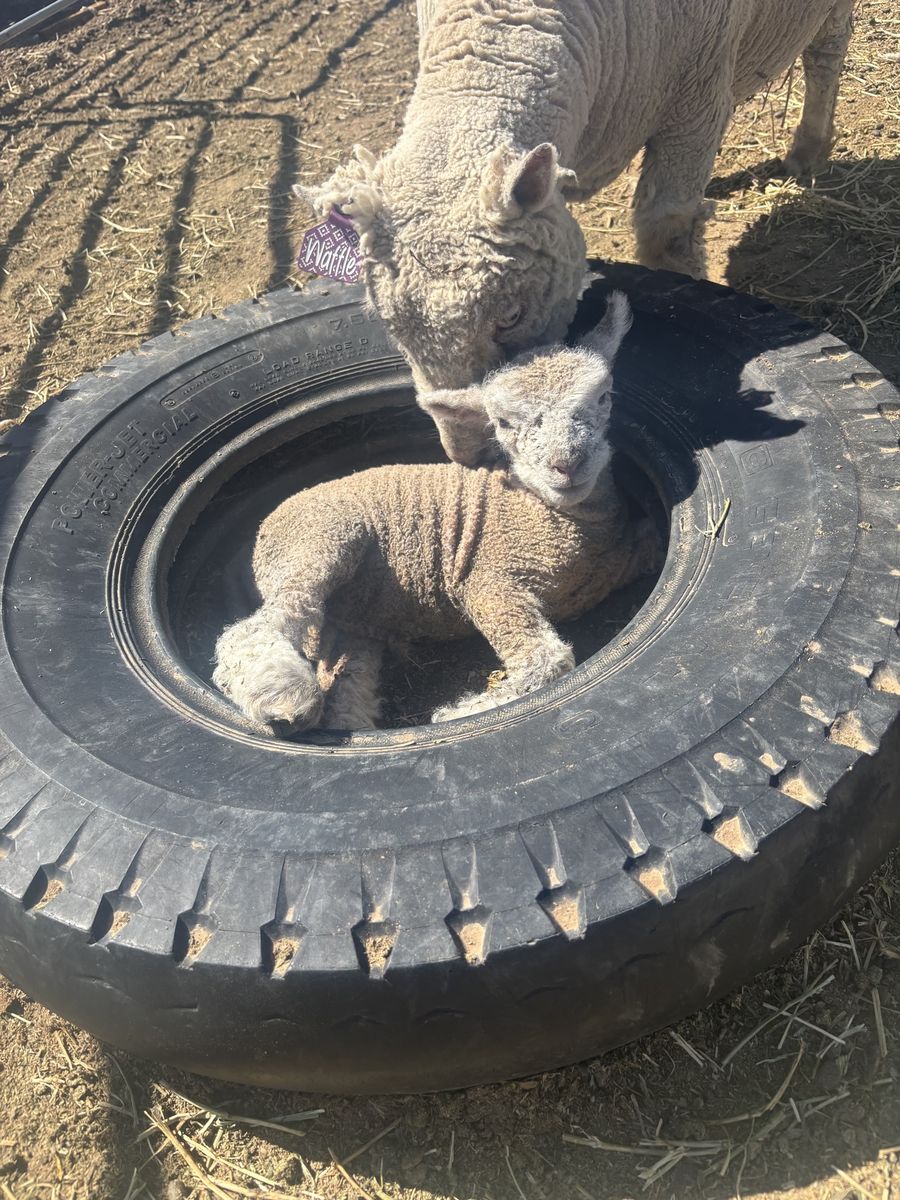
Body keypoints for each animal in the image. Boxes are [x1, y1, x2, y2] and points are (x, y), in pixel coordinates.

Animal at [212, 293, 660, 729]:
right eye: (502, 423)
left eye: (604, 397)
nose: (567, 463)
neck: (555, 518)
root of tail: (266, 527)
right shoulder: (488, 582)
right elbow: (548, 660)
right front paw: (465, 712)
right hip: (319, 539)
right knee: (258, 625)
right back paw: (283, 694)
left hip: (352, 622)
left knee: (346, 684)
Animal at [300, 0, 853, 462]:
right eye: (388, 328)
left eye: (512, 316)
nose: (468, 455)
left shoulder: (695, 100)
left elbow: (667, 229)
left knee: (828, 50)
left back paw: (809, 149)